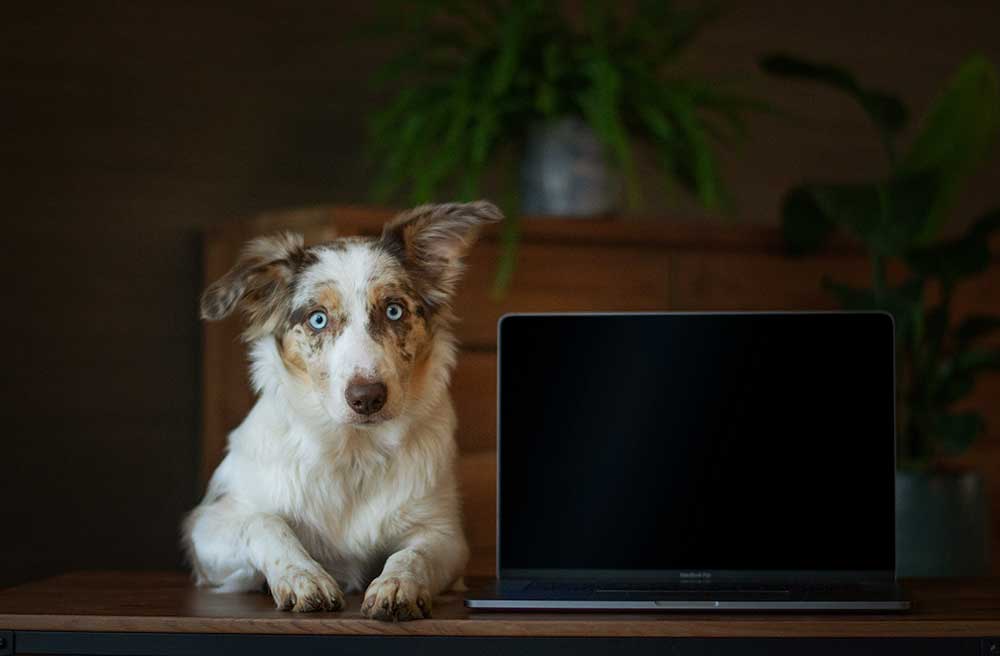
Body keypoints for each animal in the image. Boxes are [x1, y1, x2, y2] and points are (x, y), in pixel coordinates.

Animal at [182, 201, 500, 620]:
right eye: (318, 318)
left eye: (394, 311)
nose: (367, 397)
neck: (353, 451)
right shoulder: (208, 525)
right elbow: (264, 522)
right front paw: (304, 577)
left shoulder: (444, 534)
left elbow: (412, 555)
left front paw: (397, 585)